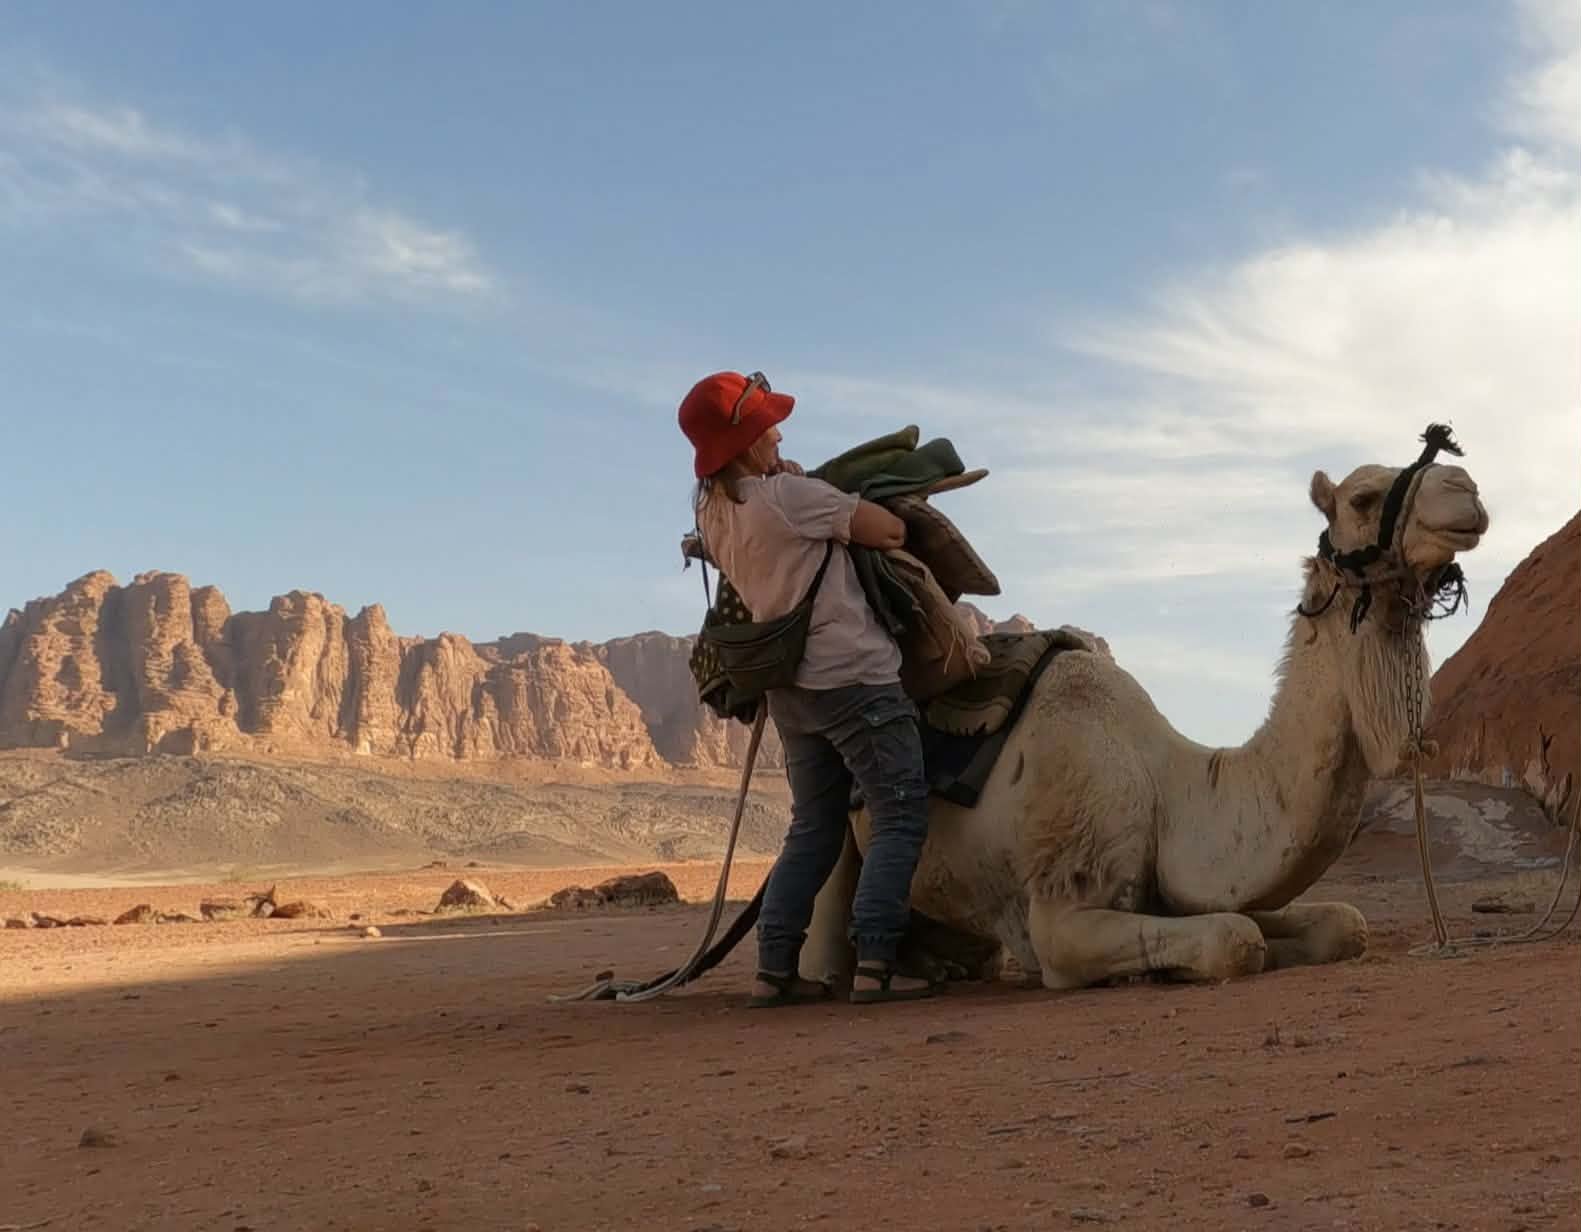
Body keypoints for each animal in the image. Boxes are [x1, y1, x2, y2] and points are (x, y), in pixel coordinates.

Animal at [800, 429, 1489, 990]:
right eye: (1364, 498)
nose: (1467, 490)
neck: (1168, 787)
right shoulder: (1060, 908)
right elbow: (1235, 939)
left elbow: (1341, 923)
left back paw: (939, 964)